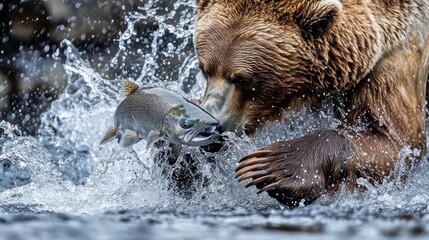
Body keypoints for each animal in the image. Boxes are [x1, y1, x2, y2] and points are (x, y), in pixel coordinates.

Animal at [193, 0, 428, 206]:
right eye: (205, 69)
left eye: (243, 79)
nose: (211, 126)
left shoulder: (396, 57)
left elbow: (396, 142)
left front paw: (273, 166)